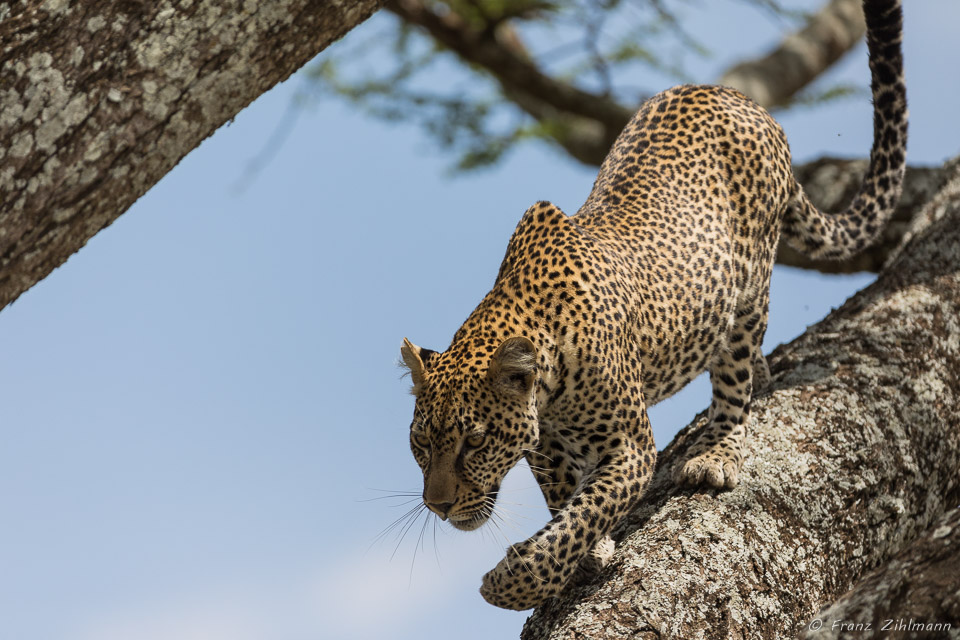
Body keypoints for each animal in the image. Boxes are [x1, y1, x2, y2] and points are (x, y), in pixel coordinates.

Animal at [398, 0, 908, 608]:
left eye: (474, 441)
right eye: (421, 443)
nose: (439, 506)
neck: (548, 383)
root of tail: (741, 99)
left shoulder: (631, 449)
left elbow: (586, 512)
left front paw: (516, 581)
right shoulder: (545, 452)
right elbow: (565, 500)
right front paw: (585, 550)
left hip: (747, 290)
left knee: (735, 386)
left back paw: (716, 453)